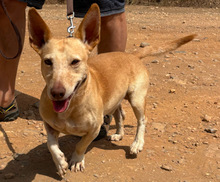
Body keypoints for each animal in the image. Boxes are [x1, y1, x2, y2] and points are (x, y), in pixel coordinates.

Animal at [27, 3, 196, 178]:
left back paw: (137, 143)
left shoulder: (94, 129)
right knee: (120, 116)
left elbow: (81, 145)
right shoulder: (48, 125)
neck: (71, 106)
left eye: (75, 62)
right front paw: (60, 161)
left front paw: (77, 160)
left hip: (136, 99)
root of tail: (132, 55)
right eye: (47, 61)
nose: (57, 93)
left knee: (142, 120)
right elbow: (50, 144)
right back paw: (119, 133)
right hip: (115, 99)